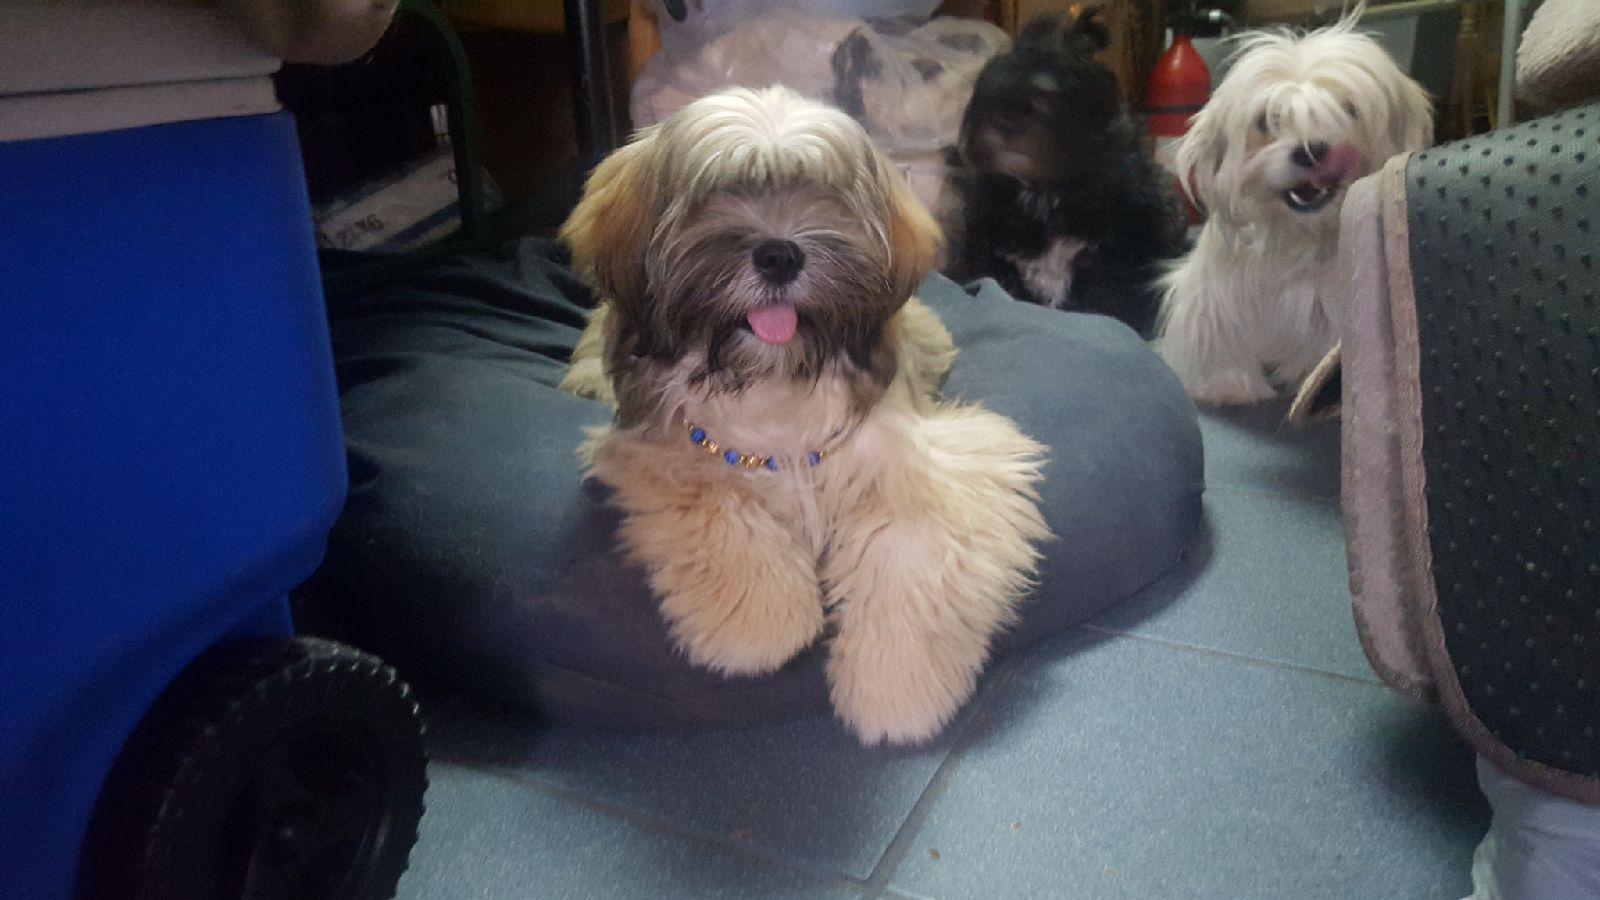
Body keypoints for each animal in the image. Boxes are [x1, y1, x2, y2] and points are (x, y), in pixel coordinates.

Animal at [558, 86, 1050, 746]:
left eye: (823, 193)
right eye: (716, 192)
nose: (779, 255)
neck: (775, 375)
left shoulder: (939, 460)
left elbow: (913, 552)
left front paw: (896, 689)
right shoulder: (654, 448)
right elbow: (717, 508)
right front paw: (759, 625)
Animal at [1157, 16, 1432, 405]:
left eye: (1349, 109)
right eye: (1266, 120)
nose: (1311, 150)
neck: (1299, 234)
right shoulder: (1215, 293)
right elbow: (1219, 334)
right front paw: (1226, 383)